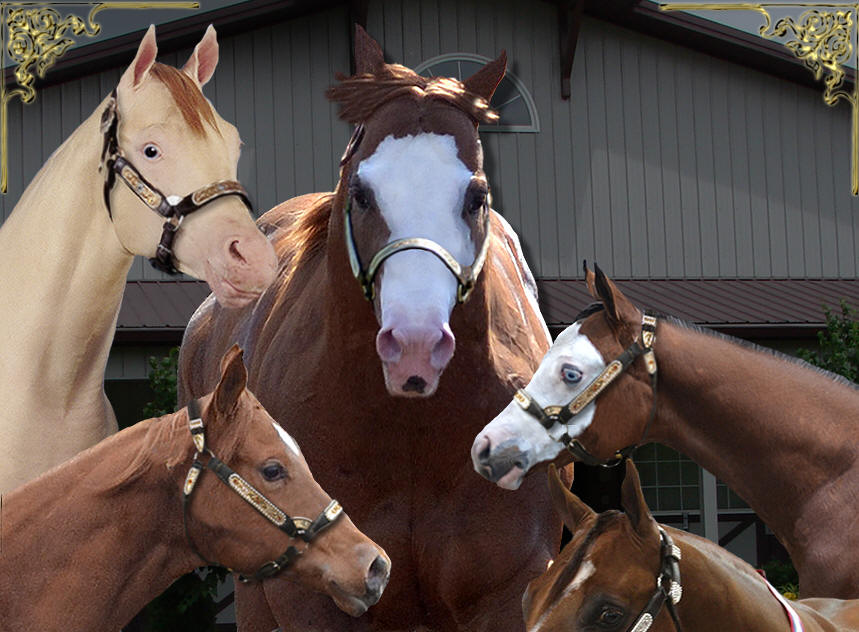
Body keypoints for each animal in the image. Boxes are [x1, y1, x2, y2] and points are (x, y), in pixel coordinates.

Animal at [178, 26, 563, 631]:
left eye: (476, 195)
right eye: (360, 193)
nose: (415, 347)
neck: (410, 432)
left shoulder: (508, 592)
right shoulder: (314, 602)